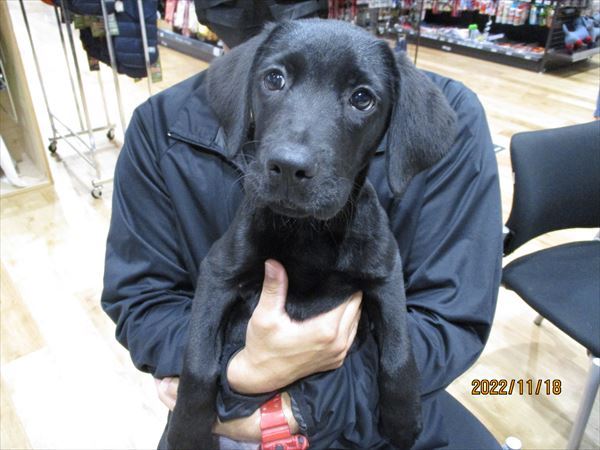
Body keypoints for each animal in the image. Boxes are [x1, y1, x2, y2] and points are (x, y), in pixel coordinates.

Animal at [163, 19, 456, 450]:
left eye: (362, 98)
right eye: (274, 79)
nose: (288, 167)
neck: (308, 234)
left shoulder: (386, 274)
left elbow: (400, 352)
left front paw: (404, 419)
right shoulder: (218, 272)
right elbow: (198, 360)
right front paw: (187, 430)